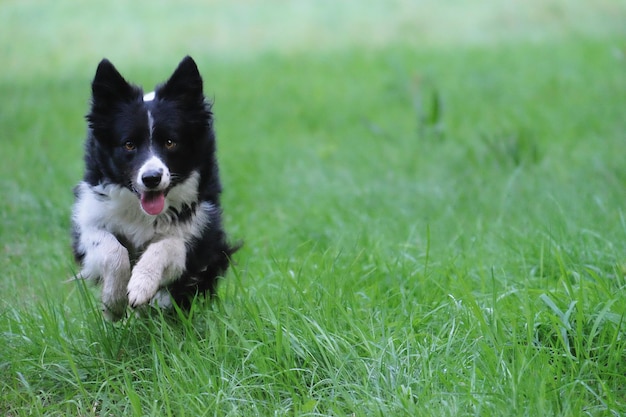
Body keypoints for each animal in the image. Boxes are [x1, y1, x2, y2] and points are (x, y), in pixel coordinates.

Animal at [70, 56, 236, 322]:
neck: (142, 213)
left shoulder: (197, 232)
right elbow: (112, 250)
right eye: (129, 144)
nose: (151, 178)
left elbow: (166, 245)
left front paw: (140, 286)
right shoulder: (90, 222)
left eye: (170, 142)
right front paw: (113, 302)